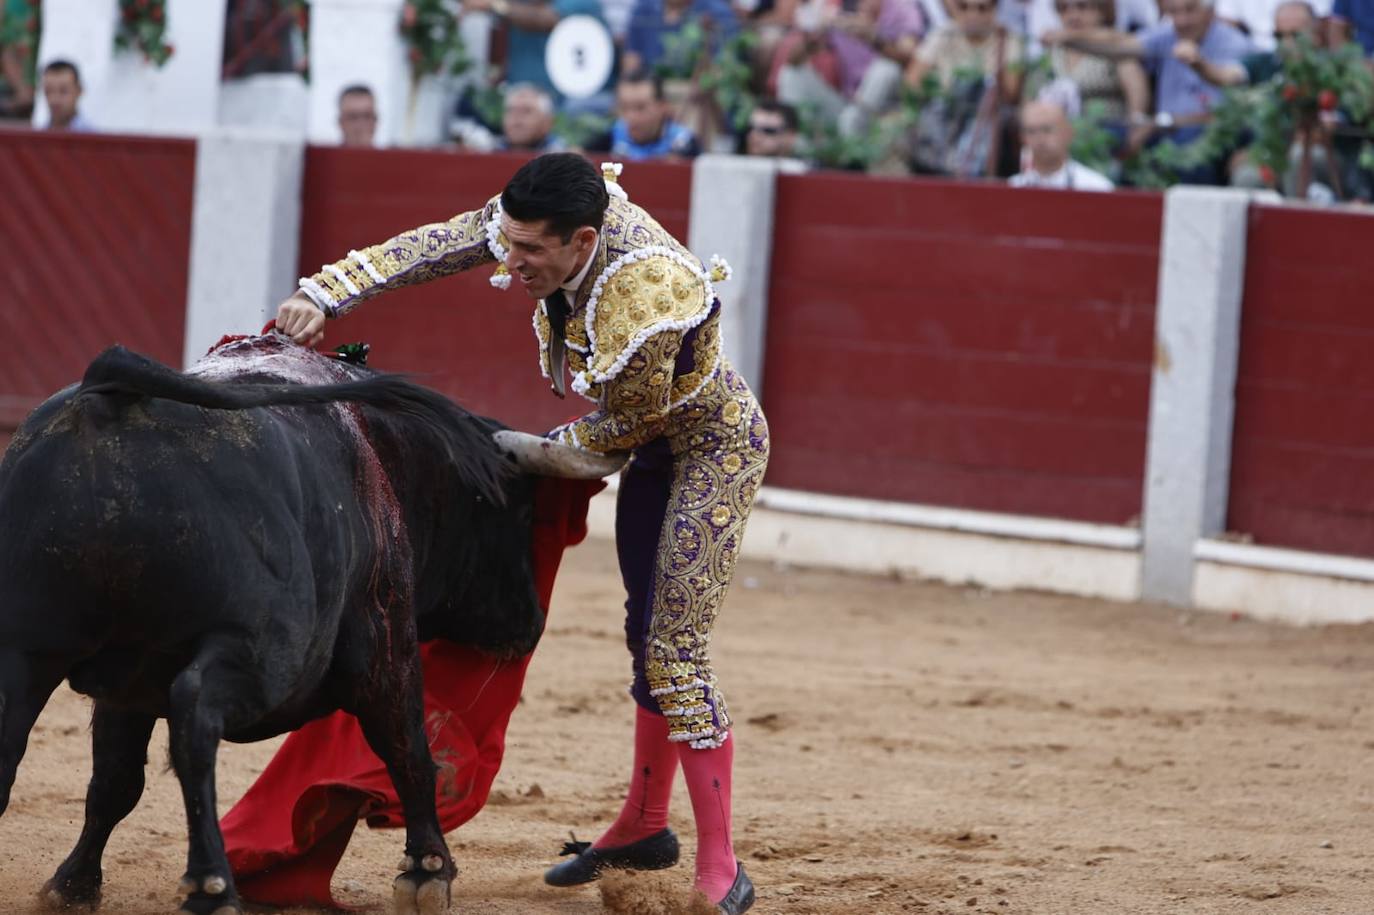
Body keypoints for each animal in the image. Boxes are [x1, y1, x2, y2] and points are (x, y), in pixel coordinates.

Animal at [0, 335, 618, 912]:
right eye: (520, 511)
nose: (530, 623)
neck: (386, 452)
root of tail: (110, 398)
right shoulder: (387, 640)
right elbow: (409, 752)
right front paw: (428, 871)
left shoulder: (128, 684)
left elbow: (115, 781)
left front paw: (72, 885)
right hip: (262, 652)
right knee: (196, 716)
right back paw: (211, 884)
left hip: (27, 649)